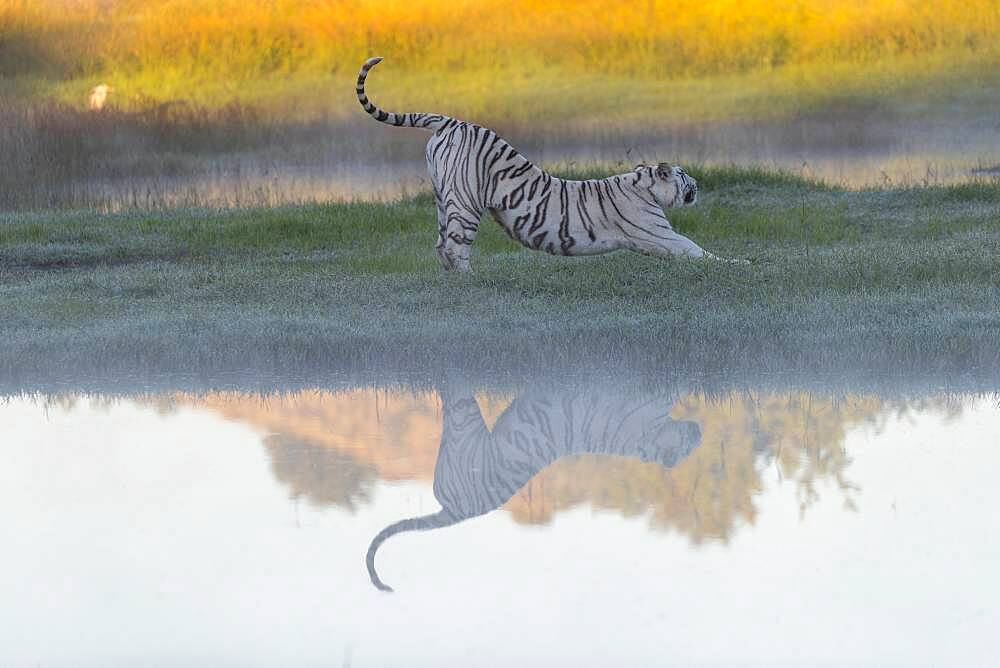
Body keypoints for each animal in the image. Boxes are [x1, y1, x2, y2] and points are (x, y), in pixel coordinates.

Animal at [356, 56, 716, 272]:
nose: (697, 184)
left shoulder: (658, 240)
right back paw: (469, 279)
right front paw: (730, 266)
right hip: (465, 201)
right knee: (455, 247)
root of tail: (452, 121)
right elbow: (702, 252)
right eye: (684, 174)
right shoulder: (660, 235)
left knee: (441, 244)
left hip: (442, 197)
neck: (643, 186)